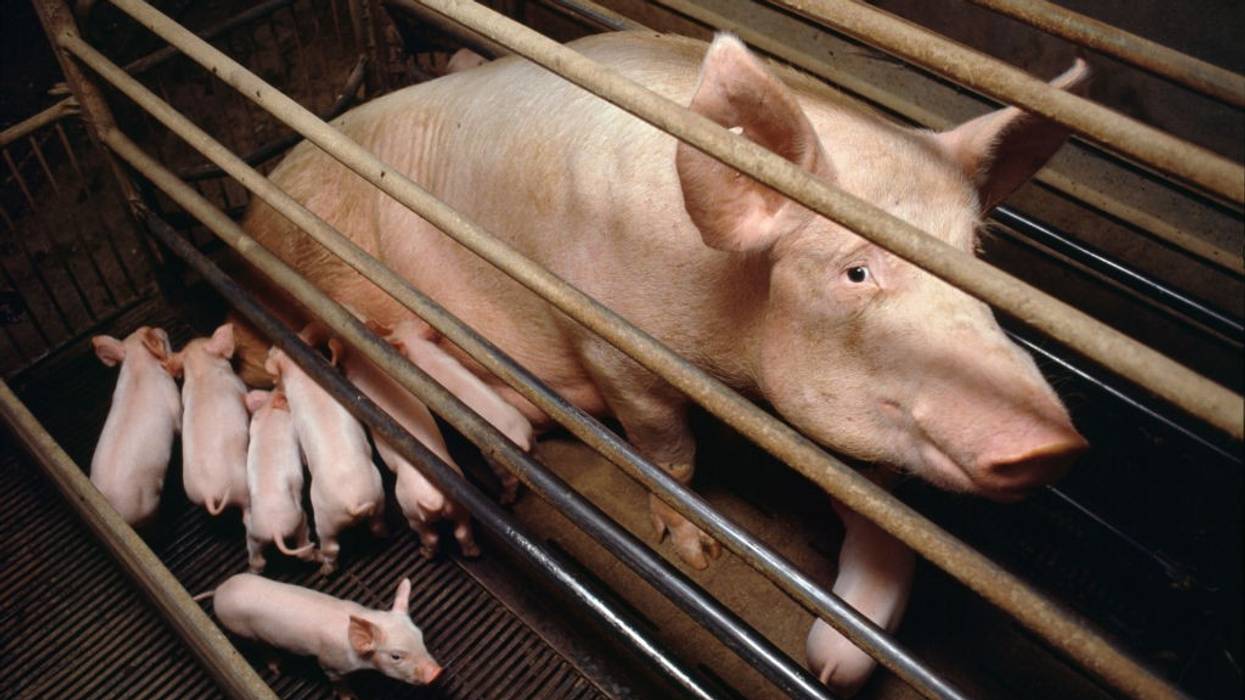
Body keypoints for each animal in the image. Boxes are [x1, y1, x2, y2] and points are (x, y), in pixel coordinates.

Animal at [207, 574, 441, 696]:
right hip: (243, 630)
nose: (436, 672)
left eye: (421, 637)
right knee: (260, 647)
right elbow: (337, 681)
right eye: (396, 656)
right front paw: (351, 697)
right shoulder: (330, 664)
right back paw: (277, 667)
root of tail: (219, 589)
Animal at [242, 389, 316, 572]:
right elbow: (302, 453)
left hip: (255, 535)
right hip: (298, 520)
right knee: (303, 547)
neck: (269, 410)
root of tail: (274, 529)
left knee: (256, 558)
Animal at [266, 341, 386, 575]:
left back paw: (324, 568)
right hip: (378, 497)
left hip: (325, 518)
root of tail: (353, 502)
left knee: (331, 548)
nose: (271, 347)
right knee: (378, 525)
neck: (304, 373)